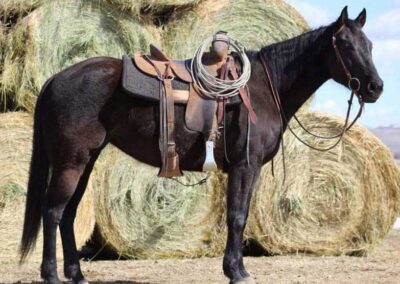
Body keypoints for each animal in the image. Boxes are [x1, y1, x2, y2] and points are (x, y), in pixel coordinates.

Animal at [20, 6, 382, 284]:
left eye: (369, 44)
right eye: (345, 43)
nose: (375, 87)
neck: (263, 88)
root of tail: (55, 79)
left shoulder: (248, 169)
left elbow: (240, 216)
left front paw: (236, 269)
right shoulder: (245, 166)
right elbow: (237, 216)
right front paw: (236, 272)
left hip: (85, 161)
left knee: (68, 214)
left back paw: (77, 274)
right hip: (71, 162)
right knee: (53, 212)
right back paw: (51, 274)